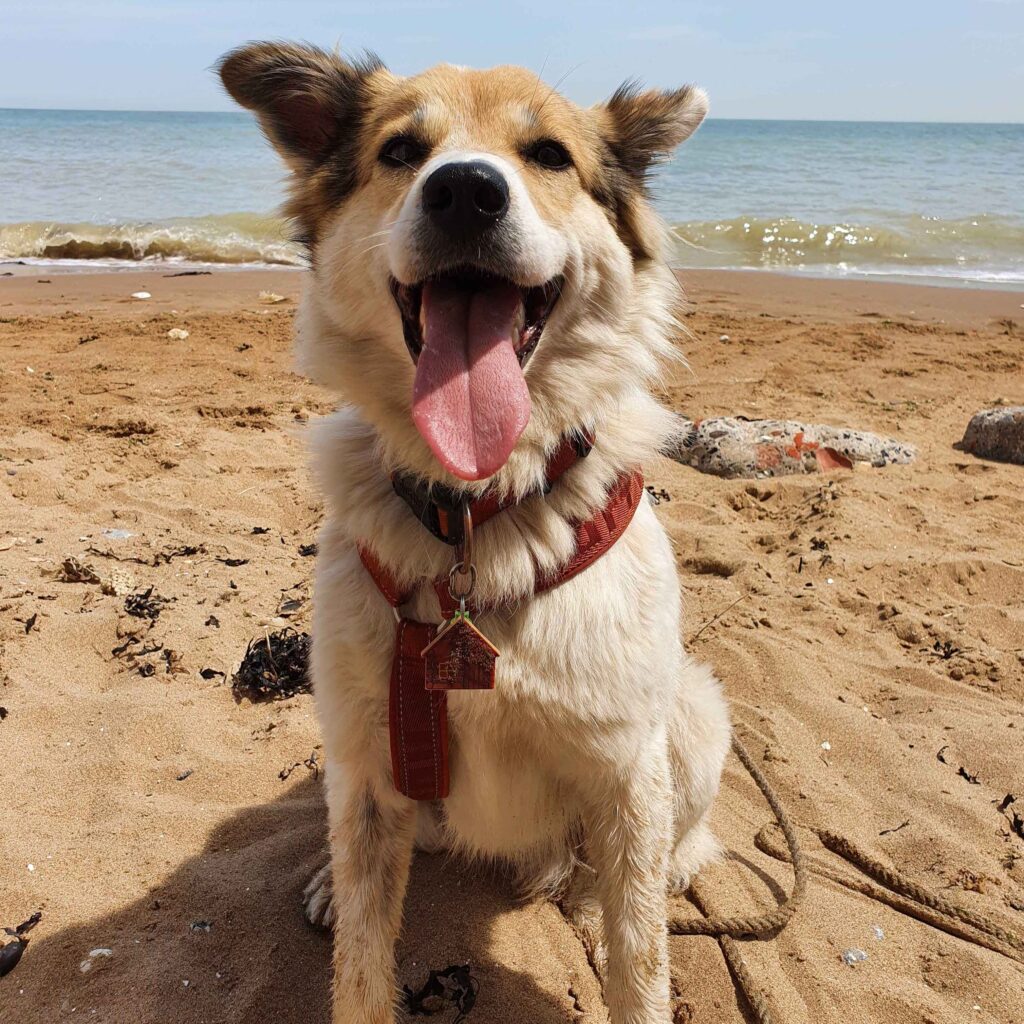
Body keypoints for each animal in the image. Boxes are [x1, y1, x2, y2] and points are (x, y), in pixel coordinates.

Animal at [220, 41, 733, 1024]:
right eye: (399, 151)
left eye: (550, 156)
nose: (464, 190)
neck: (476, 516)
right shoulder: (372, 748)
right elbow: (362, 960)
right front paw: (348, 917)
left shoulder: (627, 765)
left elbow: (640, 956)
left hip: (692, 712)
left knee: (672, 851)